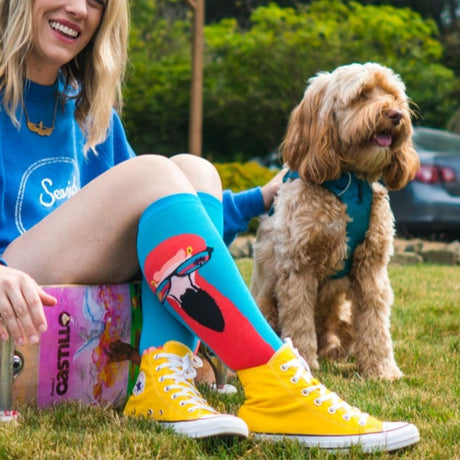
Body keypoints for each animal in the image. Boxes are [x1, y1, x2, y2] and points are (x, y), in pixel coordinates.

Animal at [253, 62, 418, 380]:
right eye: (362, 95)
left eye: (393, 95)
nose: (396, 115)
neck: (351, 182)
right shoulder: (298, 266)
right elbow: (299, 320)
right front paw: (304, 362)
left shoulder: (372, 267)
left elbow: (376, 322)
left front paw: (382, 370)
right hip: (265, 301)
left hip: (343, 311)